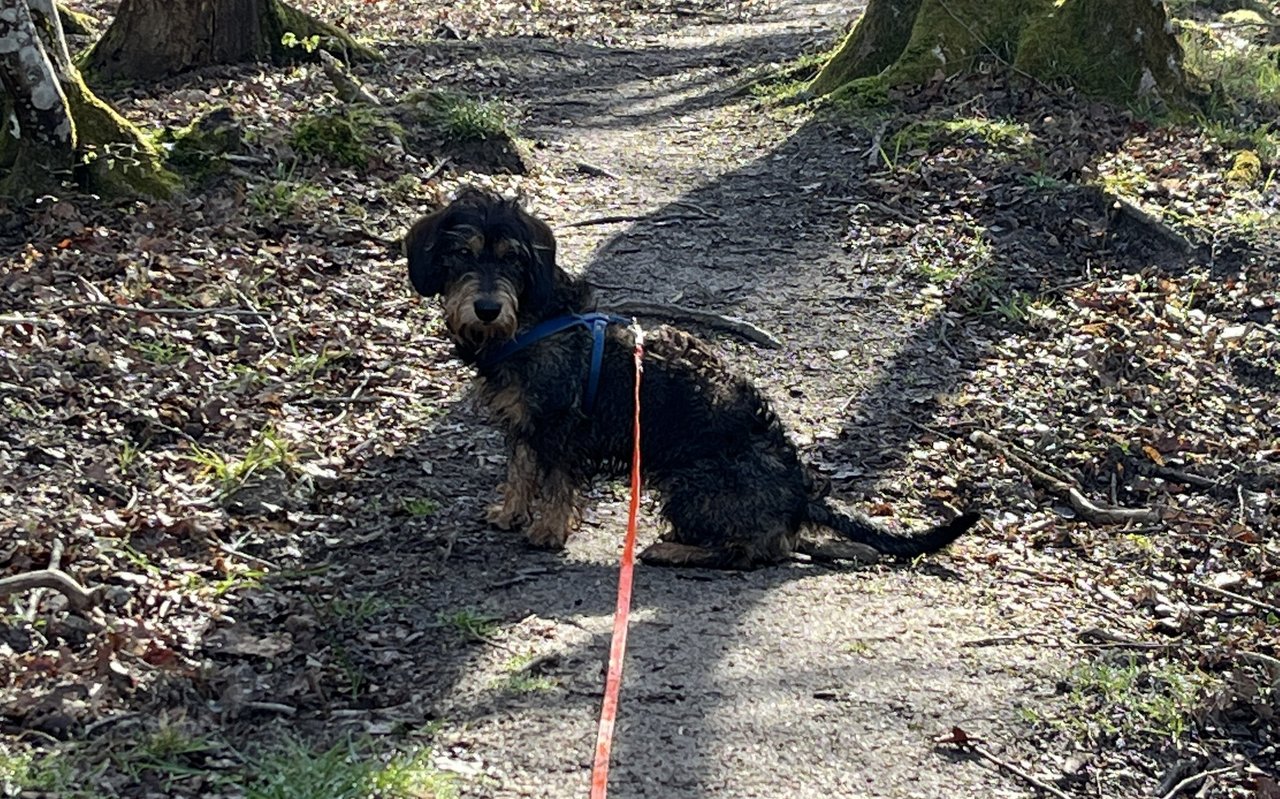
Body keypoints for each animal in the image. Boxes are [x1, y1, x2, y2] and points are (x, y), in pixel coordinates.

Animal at [404, 188, 972, 568]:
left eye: (512, 260)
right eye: (461, 253)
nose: (486, 308)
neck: (531, 320)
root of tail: (799, 491)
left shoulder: (563, 427)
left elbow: (558, 482)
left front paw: (547, 530)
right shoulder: (523, 424)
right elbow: (521, 471)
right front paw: (510, 513)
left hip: (688, 483)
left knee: (753, 551)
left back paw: (672, 550)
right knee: (780, 543)